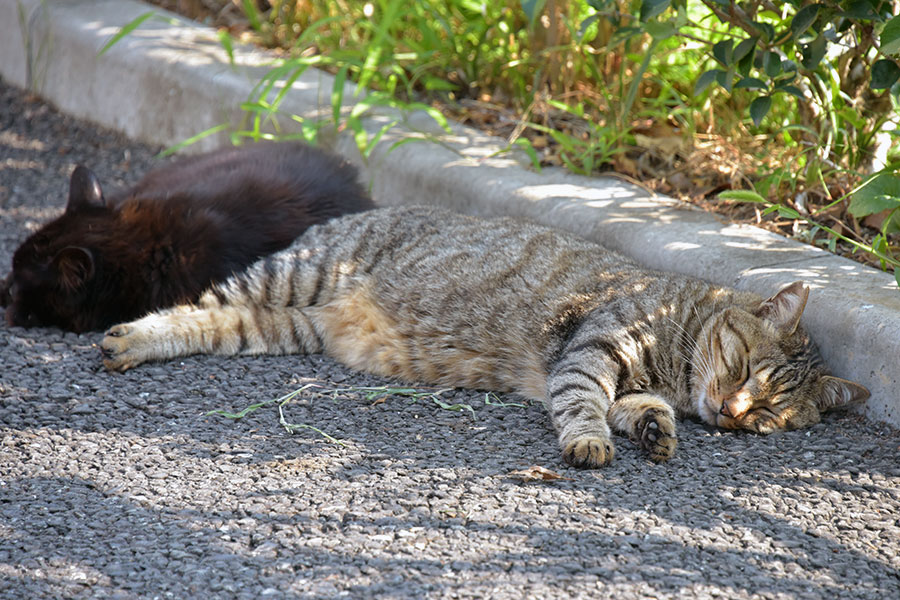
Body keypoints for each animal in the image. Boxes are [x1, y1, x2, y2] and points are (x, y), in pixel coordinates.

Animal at [100, 206, 872, 468]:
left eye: (768, 415)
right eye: (744, 368)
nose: (734, 412)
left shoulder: (620, 377)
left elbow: (635, 408)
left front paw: (655, 430)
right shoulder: (591, 348)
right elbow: (584, 403)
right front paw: (591, 442)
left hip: (280, 325)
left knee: (212, 322)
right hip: (290, 278)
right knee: (191, 304)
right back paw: (126, 337)